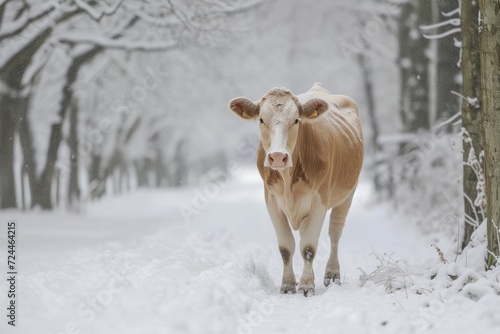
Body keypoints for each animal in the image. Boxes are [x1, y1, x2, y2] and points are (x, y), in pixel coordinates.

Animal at [228, 82, 364, 296]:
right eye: (261, 119)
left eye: (296, 120)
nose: (277, 156)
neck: (288, 178)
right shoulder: (271, 200)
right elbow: (286, 247)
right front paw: (288, 285)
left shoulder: (320, 201)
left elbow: (308, 247)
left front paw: (307, 285)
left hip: (348, 194)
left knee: (335, 232)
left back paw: (332, 274)